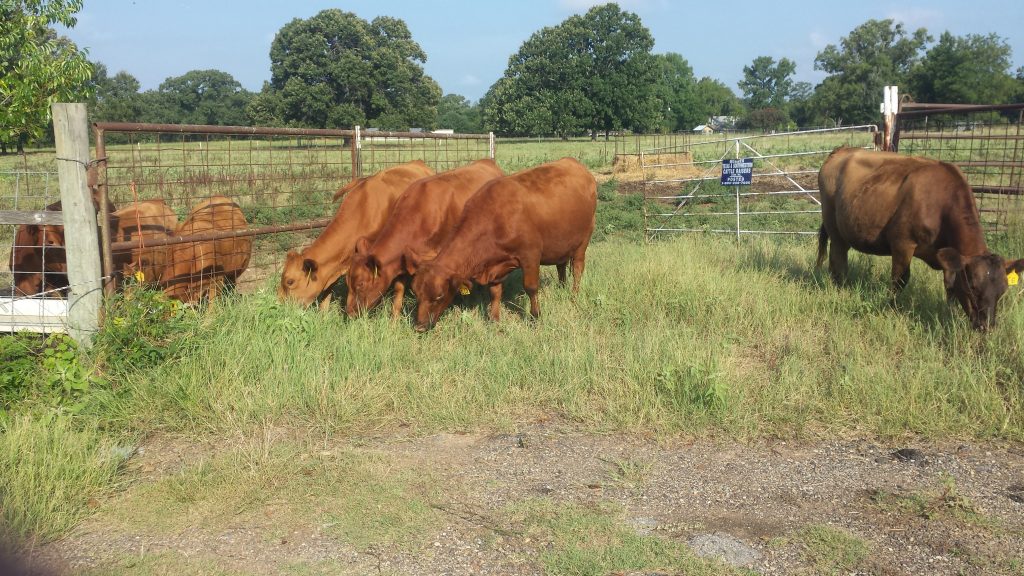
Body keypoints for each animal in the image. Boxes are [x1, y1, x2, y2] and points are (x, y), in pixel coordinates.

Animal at [280, 156, 436, 309]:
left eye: (289, 281)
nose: (280, 306)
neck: (364, 210)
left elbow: (397, 286)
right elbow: (330, 285)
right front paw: (323, 312)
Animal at [346, 158, 505, 315]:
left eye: (360, 284)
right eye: (348, 283)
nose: (350, 313)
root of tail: (487, 162)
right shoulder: (403, 260)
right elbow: (399, 288)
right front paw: (394, 319)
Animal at [409, 156, 598, 330]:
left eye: (439, 296)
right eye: (416, 293)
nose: (420, 327)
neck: (494, 220)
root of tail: (574, 163)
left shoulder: (530, 256)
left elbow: (531, 287)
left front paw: (535, 317)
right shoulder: (494, 267)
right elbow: (495, 292)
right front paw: (494, 320)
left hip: (583, 240)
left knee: (577, 269)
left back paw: (573, 296)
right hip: (561, 244)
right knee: (561, 266)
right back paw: (561, 287)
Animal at [815, 145, 1024, 330]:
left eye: (1003, 291)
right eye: (972, 287)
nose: (986, 326)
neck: (940, 204)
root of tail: (842, 150)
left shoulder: (947, 253)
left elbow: (949, 285)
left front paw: (949, 313)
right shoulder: (902, 243)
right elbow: (900, 279)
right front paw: (891, 308)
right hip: (833, 224)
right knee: (839, 259)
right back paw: (841, 288)